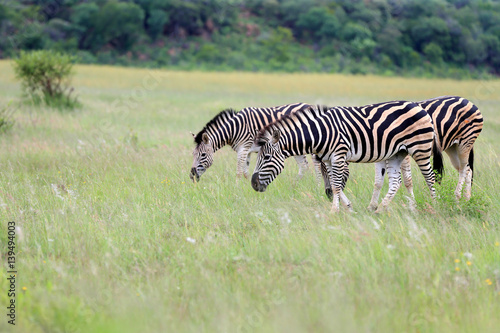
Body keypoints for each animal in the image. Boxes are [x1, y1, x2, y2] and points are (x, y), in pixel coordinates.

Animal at [188, 103, 324, 183]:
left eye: (203, 155)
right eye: (193, 154)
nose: (192, 176)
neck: (234, 128)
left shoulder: (243, 148)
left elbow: (239, 171)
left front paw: (236, 187)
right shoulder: (246, 150)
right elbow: (245, 171)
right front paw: (248, 185)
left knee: (316, 165)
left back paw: (318, 185)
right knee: (304, 165)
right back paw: (297, 184)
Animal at [252, 100, 444, 211]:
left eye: (266, 158)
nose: (253, 184)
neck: (320, 132)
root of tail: (419, 106)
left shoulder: (338, 155)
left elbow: (337, 186)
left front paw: (334, 211)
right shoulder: (328, 159)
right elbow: (334, 184)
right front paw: (348, 207)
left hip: (420, 148)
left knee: (430, 177)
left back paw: (434, 206)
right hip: (398, 153)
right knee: (396, 182)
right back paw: (379, 209)